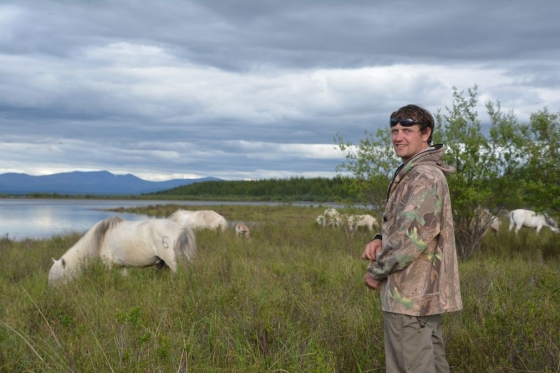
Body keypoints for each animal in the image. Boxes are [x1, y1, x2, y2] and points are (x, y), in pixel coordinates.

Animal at [48, 217, 197, 284]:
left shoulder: (107, 264)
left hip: (173, 262)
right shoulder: (122, 266)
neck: (99, 239)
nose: (53, 295)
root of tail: (181, 228)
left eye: (57, 278)